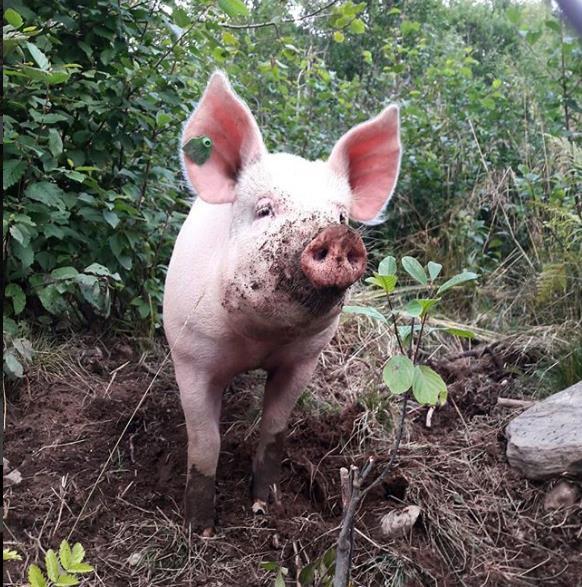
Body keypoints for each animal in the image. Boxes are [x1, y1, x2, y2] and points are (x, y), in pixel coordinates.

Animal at [164, 71, 402, 536]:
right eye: (264, 209)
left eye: (342, 216)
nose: (338, 234)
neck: (259, 341)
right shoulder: (191, 355)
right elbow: (205, 441)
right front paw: (200, 529)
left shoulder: (304, 357)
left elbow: (274, 427)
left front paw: (264, 506)